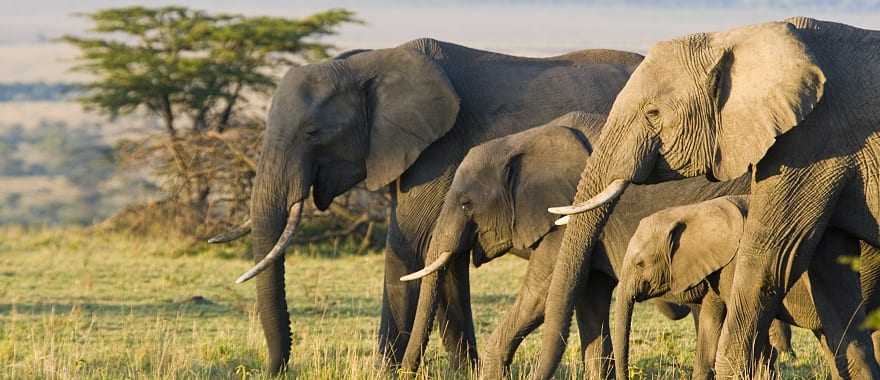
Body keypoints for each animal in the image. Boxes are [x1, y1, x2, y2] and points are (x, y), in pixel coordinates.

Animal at [210, 40, 644, 372]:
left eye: (313, 132)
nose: (275, 369)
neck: (368, 63)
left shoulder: (438, 151)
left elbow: (412, 246)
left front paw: (385, 373)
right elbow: (443, 259)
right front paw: (463, 372)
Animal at [612, 196, 880, 380]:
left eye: (640, 263)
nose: (627, 375)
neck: (695, 210)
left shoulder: (736, 263)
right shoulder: (717, 267)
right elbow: (711, 320)